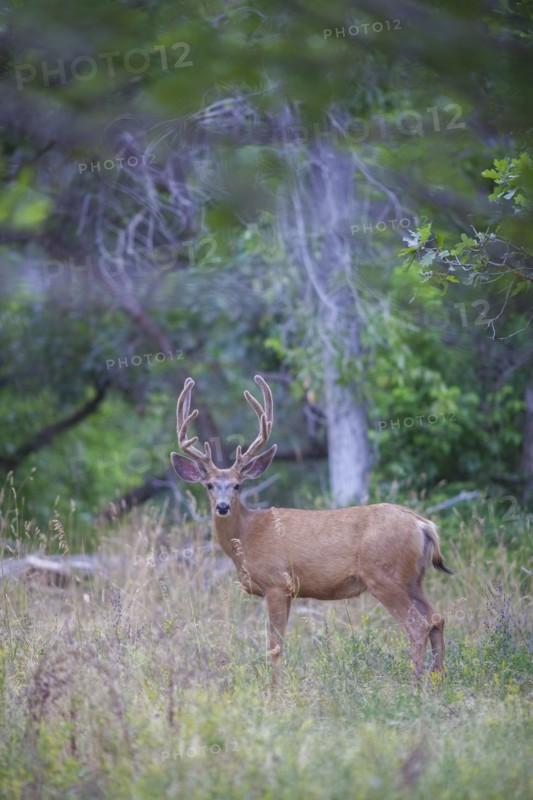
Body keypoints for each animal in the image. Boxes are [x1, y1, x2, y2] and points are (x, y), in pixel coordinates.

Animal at [170, 375, 453, 686]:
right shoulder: (288, 590)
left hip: (384, 576)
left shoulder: (277, 582)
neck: (247, 535)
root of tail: (423, 525)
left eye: (237, 485)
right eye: (209, 485)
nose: (222, 507)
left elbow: (275, 646)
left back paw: (416, 685)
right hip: (413, 579)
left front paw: (274, 691)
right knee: (437, 618)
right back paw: (438, 680)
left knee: (417, 626)